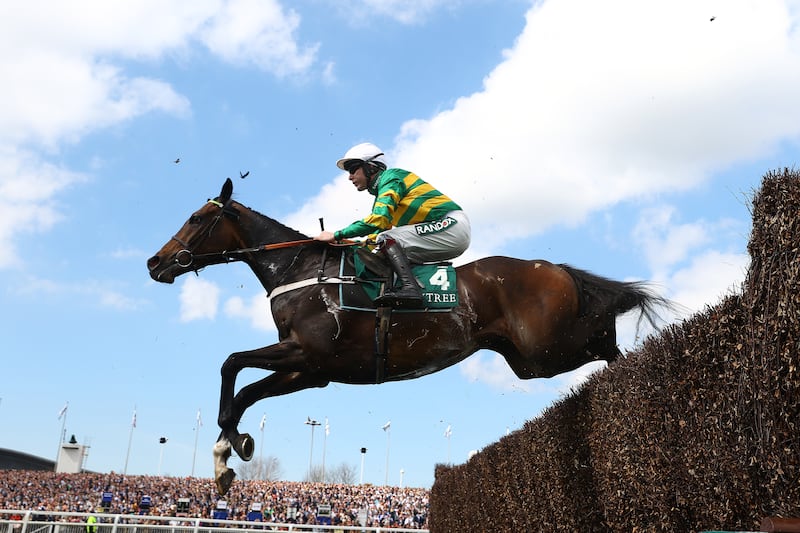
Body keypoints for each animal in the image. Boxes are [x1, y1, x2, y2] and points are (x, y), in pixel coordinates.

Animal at [148, 177, 668, 492]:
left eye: (197, 218)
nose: (155, 262)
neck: (303, 271)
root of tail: (554, 267)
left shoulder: (306, 353)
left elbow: (232, 364)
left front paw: (229, 445)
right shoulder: (312, 370)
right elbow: (245, 391)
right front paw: (227, 455)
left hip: (546, 349)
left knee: (605, 339)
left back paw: (638, 367)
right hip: (527, 360)